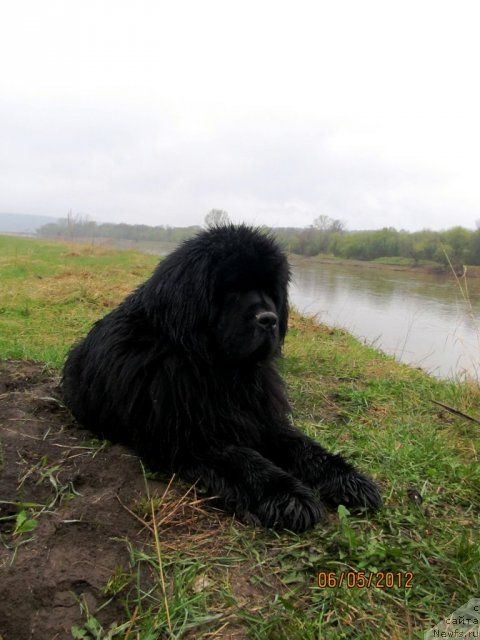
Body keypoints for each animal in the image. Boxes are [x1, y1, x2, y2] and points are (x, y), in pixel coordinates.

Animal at [61, 225, 382, 528]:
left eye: (270, 292)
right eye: (233, 291)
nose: (269, 319)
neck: (220, 371)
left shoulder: (261, 418)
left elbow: (305, 447)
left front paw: (348, 480)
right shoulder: (191, 438)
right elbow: (246, 462)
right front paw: (289, 495)